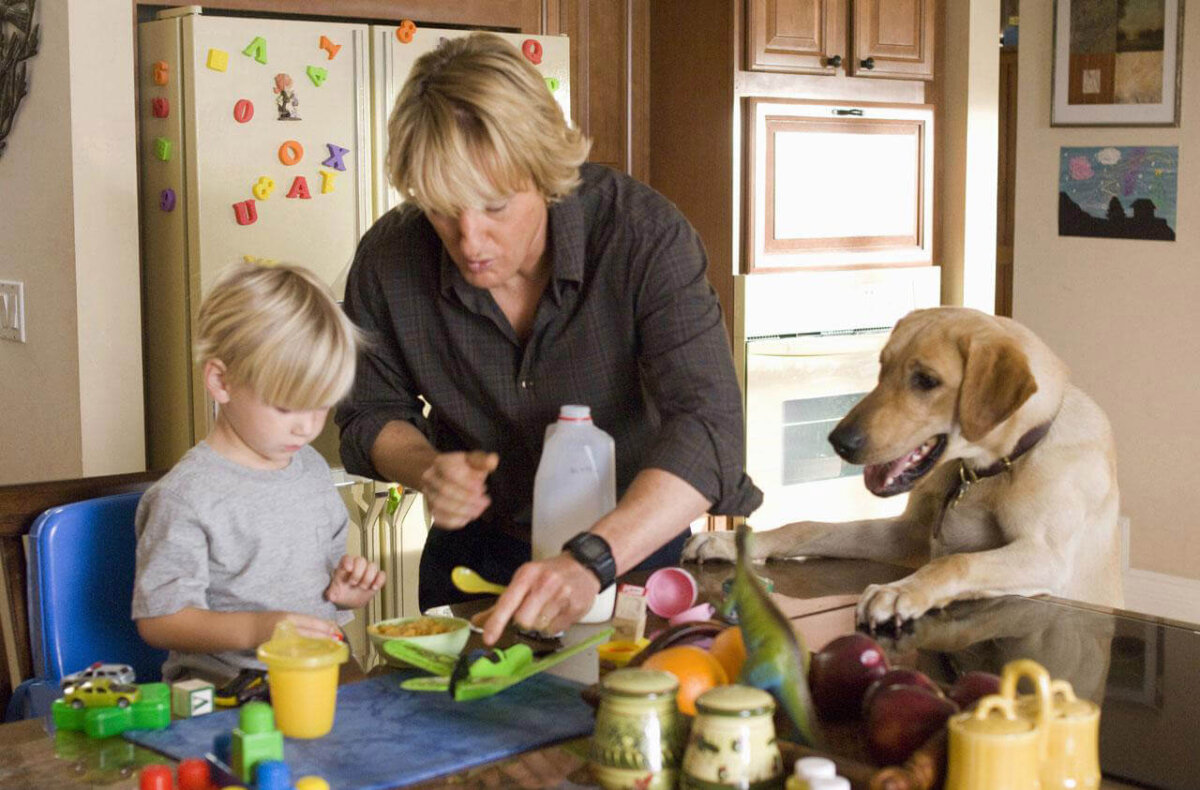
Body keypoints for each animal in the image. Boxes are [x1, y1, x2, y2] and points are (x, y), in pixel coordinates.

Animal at [691, 307, 1118, 629]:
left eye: (926, 380)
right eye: (882, 367)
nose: (838, 441)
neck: (983, 474)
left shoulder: (1044, 556)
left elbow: (956, 560)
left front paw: (899, 591)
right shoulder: (910, 533)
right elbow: (809, 526)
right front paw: (730, 541)